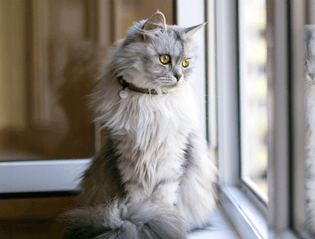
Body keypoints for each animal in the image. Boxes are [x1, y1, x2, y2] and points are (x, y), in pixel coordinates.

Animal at [63, 11, 218, 239]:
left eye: (186, 63)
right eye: (164, 59)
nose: (179, 77)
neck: (150, 100)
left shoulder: (170, 160)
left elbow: (164, 201)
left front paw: (162, 221)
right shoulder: (127, 157)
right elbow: (138, 202)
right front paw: (147, 220)